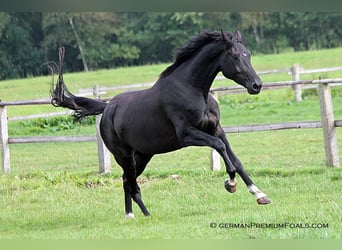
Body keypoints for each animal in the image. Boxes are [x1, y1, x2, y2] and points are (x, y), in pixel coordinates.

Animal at [51, 29, 270, 218]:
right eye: (235, 56)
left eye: (248, 55)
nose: (256, 85)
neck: (191, 89)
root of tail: (107, 109)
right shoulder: (187, 135)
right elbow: (221, 148)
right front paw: (230, 183)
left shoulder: (216, 129)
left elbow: (236, 159)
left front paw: (259, 194)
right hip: (124, 156)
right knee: (131, 183)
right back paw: (144, 216)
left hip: (143, 155)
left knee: (127, 180)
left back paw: (131, 215)